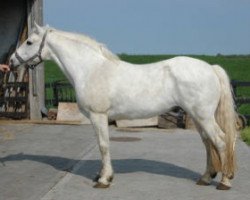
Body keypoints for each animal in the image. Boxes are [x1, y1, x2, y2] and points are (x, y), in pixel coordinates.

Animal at [8, 23, 237, 189]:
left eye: (29, 42)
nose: (11, 61)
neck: (91, 69)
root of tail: (211, 68)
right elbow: (102, 145)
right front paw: (101, 175)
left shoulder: (99, 116)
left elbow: (103, 145)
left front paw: (104, 180)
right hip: (197, 117)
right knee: (208, 143)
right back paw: (205, 178)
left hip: (203, 116)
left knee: (221, 141)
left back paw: (224, 181)